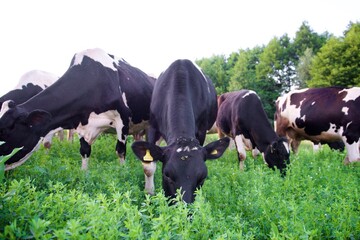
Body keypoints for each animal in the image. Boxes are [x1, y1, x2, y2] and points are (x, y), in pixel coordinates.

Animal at [0, 47, 153, 171]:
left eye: (7, 131)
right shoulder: (81, 122)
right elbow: (84, 150)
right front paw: (84, 174)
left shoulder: (123, 118)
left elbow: (120, 151)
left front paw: (123, 172)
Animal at [131, 59, 229, 202]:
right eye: (167, 174)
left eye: (202, 177)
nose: (184, 206)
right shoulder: (152, 126)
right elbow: (148, 166)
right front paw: (149, 194)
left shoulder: (201, 131)